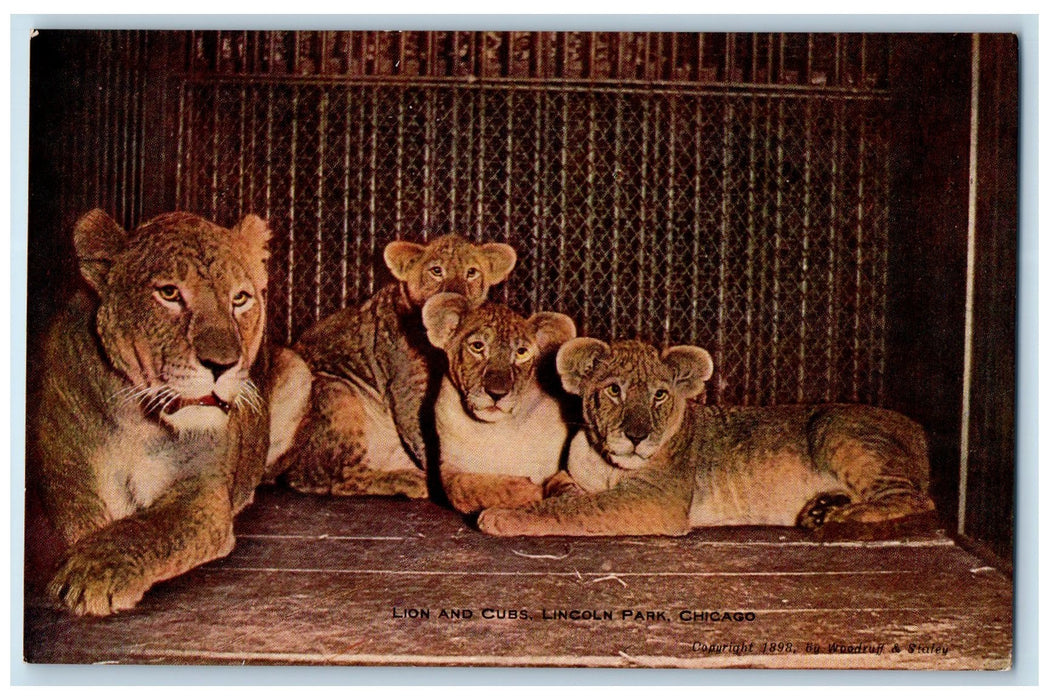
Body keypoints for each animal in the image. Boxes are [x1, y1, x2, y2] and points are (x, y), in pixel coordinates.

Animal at [28, 209, 311, 616]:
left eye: (240, 298)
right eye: (169, 294)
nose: (222, 365)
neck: (139, 421)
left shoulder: (202, 493)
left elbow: (147, 529)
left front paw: (91, 572)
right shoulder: (65, 477)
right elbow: (81, 523)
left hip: (298, 370)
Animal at [276, 235, 516, 498]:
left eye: (471, 272)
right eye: (436, 271)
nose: (455, 297)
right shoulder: (407, 389)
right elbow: (427, 443)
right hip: (337, 390)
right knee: (327, 478)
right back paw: (407, 481)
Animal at [421, 293, 576, 513]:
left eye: (521, 352)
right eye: (477, 346)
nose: (497, 393)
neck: (496, 430)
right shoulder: (448, 467)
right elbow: (464, 487)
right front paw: (528, 490)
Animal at [478, 338, 936, 537]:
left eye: (659, 394)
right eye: (614, 390)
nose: (637, 436)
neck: (605, 463)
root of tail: (917, 429)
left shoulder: (654, 502)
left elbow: (577, 510)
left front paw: (503, 516)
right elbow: (566, 490)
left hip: (832, 428)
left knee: (916, 499)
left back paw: (839, 516)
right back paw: (820, 509)